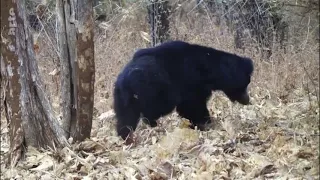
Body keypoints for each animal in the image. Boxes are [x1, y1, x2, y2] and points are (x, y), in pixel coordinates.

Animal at [112, 40, 252, 141]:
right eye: (245, 84)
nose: (247, 100)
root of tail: (124, 80)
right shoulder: (190, 81)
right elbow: (192, 105)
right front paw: (205, 123)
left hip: (123, 99)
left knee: (126, 117)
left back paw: (126, 136)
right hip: (154, 89)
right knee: (153, 110)